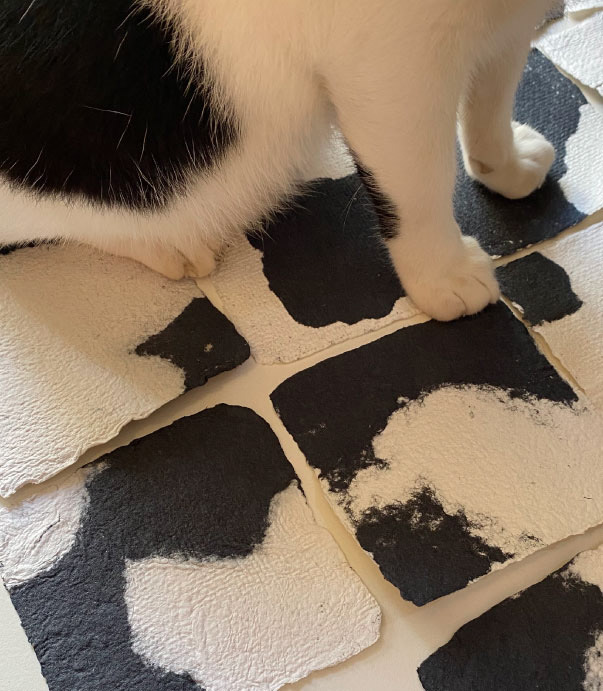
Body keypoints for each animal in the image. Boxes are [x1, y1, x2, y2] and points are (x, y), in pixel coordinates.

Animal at [0, 0, 557, 320]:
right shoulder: (391, 66)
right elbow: (417, 186)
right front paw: (442, 275)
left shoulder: (507, 24)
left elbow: (493, 96)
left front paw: (505, 165)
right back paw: (168, 245)